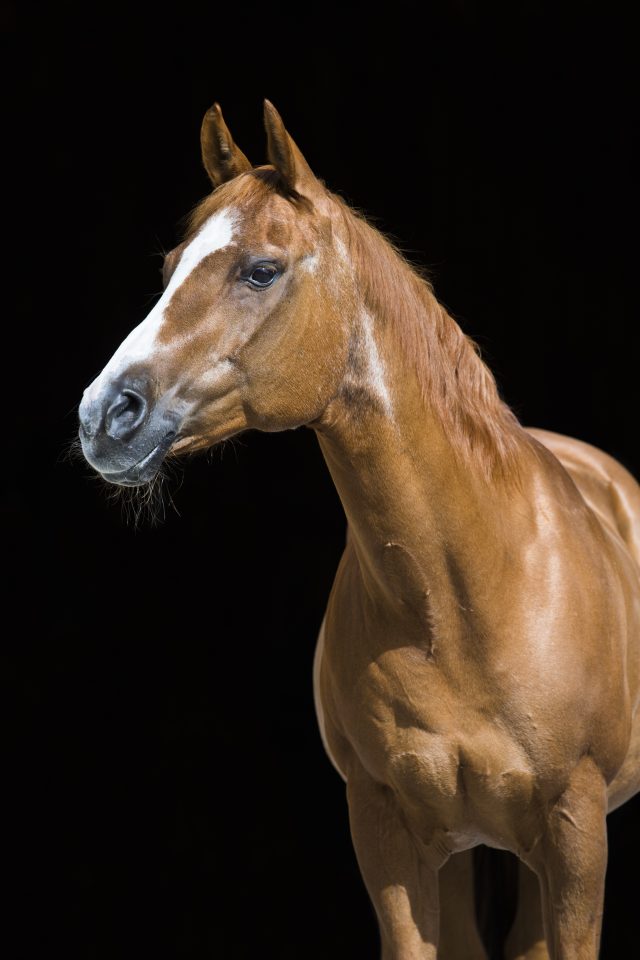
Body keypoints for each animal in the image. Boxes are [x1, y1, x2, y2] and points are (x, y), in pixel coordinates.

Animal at [80, 101, 640, 956]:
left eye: (261, 269)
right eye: (173, 263)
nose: (103, 416)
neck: (466, 598)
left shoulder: (578, 834)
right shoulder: (387, 835)